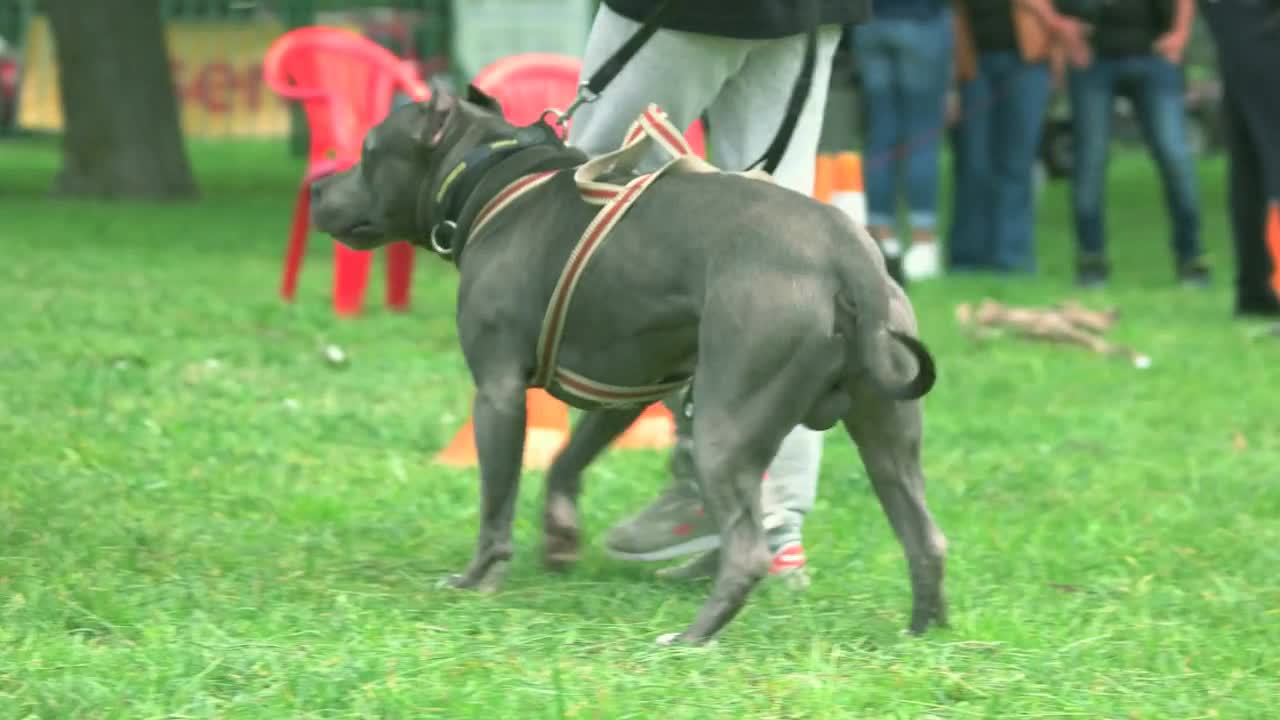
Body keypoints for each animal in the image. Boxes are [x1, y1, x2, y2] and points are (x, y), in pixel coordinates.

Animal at [308, 87, 947, 640]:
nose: (315, 188)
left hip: (727, 424)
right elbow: (566, 459)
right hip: (888, 437)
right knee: (926, 538)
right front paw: (561, 535)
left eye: (368, 151)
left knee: (748, 552)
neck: (489, 176)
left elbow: (496, 501)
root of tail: (848, 255)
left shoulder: (497, 394)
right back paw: (924, 634)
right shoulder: (626, 388)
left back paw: (690, 639)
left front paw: (475, 580)